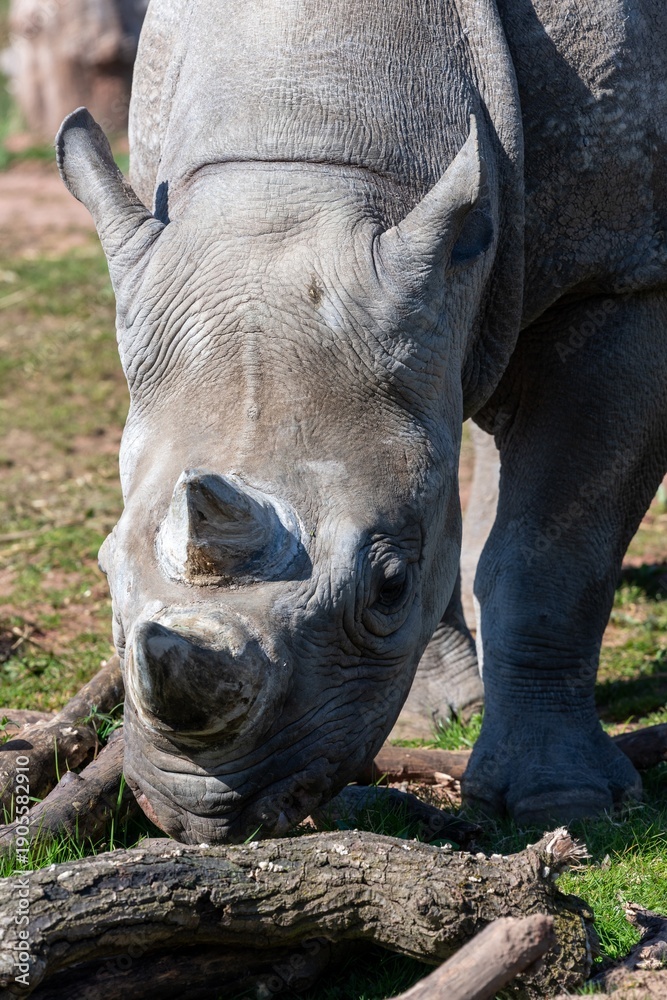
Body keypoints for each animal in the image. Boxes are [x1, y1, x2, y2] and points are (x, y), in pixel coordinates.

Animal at [56, 0, 667, 842]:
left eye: (388, 588)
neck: (300, 163)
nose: (202, 810)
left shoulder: (621, 277)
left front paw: (565, 802)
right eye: (105, 570)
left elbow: (553, 553)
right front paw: (436, 712)